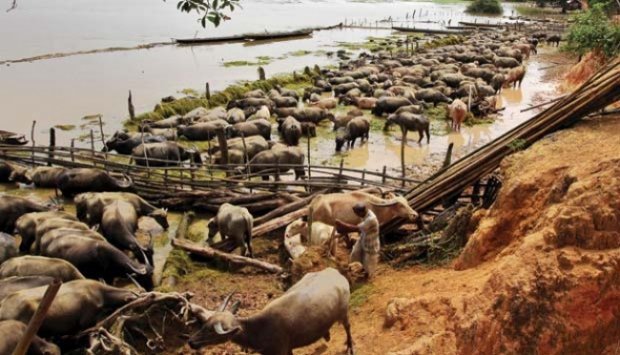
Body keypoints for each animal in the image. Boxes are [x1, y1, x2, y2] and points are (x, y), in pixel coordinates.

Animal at [189, 268, 354, 355]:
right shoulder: (287, 348)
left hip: (344, 311)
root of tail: (336, 273)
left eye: (212, 331)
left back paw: (350, 346)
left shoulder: (280, 350)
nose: (191, 342)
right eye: (204, 325)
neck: (260, 329)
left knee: (347, 327)